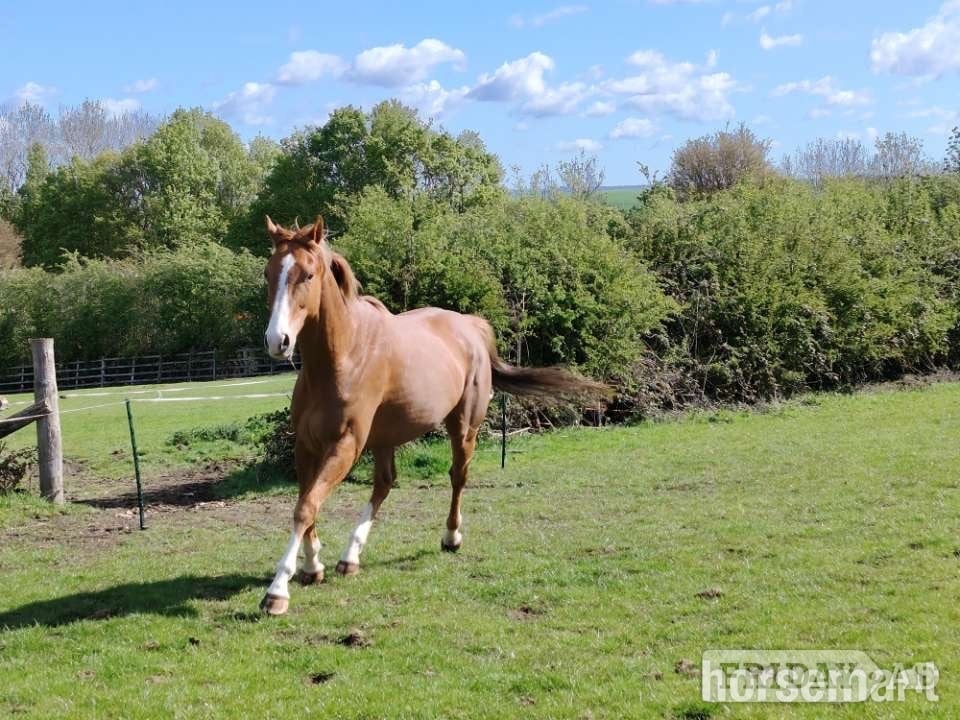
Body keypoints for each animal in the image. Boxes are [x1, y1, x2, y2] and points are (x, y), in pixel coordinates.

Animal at [259, 215, 606, 615]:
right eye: (269, 272)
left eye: (308, 274)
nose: (277, 341)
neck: (342, 357)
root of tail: (471, 326)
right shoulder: (306, 445)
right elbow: (307, 503)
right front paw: (312, 566)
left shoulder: (345, 445)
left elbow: (306, 507)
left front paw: (277, 590)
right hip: (385, 437)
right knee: (385, 483)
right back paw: (350, 558)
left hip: (463, 426)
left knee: (457, 476)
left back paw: (451, 537)